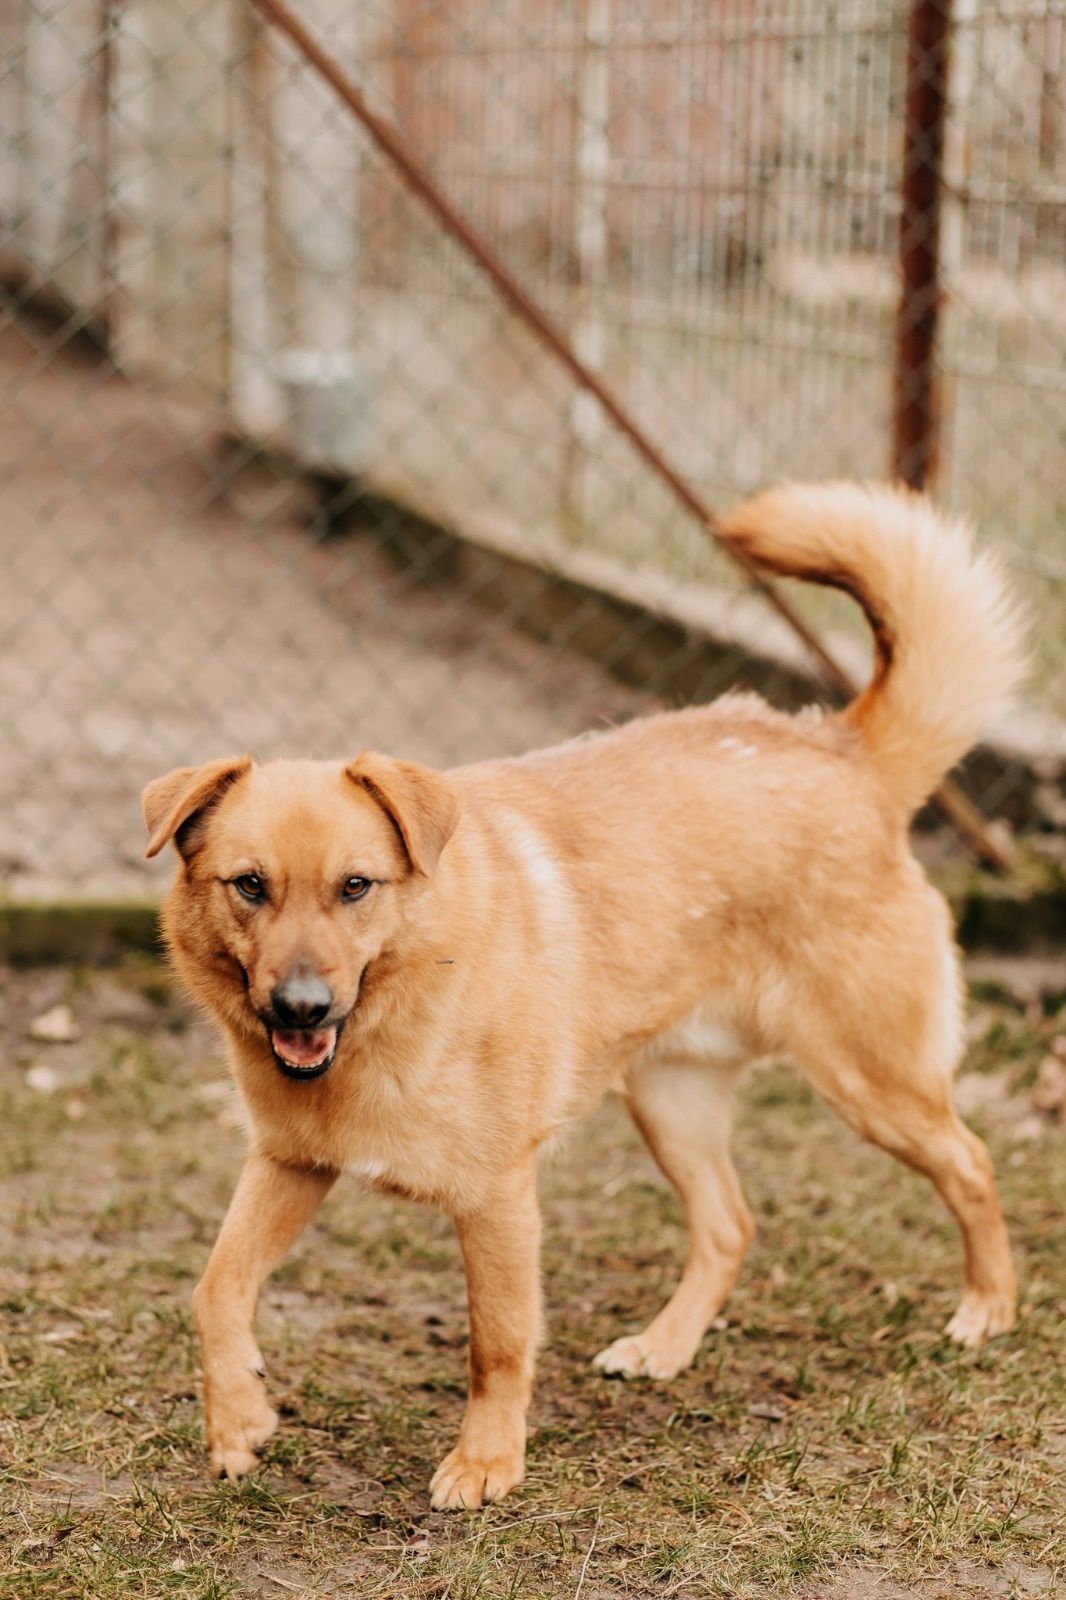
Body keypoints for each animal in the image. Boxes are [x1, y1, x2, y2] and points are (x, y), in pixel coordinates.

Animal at [143, 480, 1024, 1504]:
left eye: (356, 887)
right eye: (249, 886)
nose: (300, 1009)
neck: (398, 1011)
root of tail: (845, 754)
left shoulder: (496, 1201)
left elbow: (495, 1344)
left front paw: (487, 1463)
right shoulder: (292, 1164)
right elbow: (214, 1286)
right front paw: (239, 1418)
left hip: (871, 1082)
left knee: (971, 1163)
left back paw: (988, 1308)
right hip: (671, 1103)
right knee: (730, 1225)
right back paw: (665, 1347)